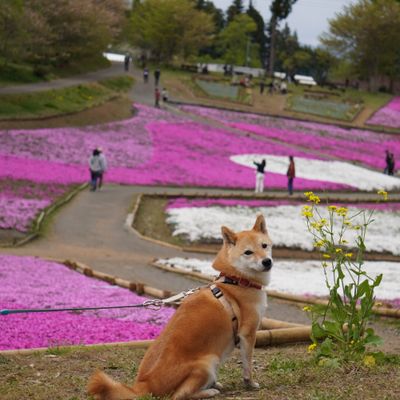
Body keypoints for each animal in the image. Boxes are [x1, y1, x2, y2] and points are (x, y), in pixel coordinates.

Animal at [88, 216, 274, 400]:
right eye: (248, 252)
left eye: (264, 246)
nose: (267, 261)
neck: (235, 279)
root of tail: (144, 385)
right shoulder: (248, 334)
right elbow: (247, 366)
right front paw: (250, 384)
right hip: (208, 362)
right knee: (180, 395)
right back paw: (209, 391)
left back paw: (213, 385)